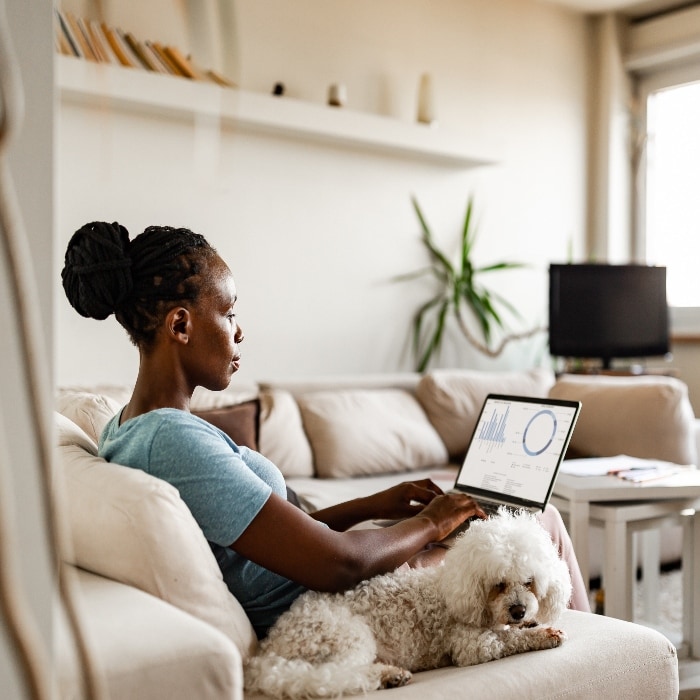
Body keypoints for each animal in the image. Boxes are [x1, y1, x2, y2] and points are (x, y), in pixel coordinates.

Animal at [243, 506, 572, 696]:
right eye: (498, 585)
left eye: (529, 582)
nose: (518, 611)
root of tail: (269, 650)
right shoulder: (471, 645)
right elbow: (508, 640)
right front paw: (543, 634)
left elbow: (511, 631)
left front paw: (531, 623)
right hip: (346, 636)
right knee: (333, 676)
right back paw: (390, 676)